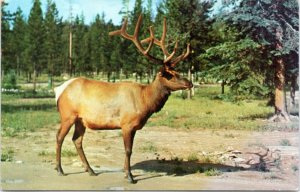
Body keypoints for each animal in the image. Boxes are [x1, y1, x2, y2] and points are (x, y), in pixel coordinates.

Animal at [54, 15, 192, 183]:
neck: (145, 101)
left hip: (81, 120)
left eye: (177, 71)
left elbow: (129, 150)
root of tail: (59, 90)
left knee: (77, 140)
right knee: (59, 137)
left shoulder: (132, 126)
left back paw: (91, 170)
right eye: (170, 75)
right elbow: (128, 150)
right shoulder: (126, 124)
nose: (189, 83)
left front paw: (127, 173)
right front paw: (130, 177)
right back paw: (60, 170)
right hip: (67, 115)